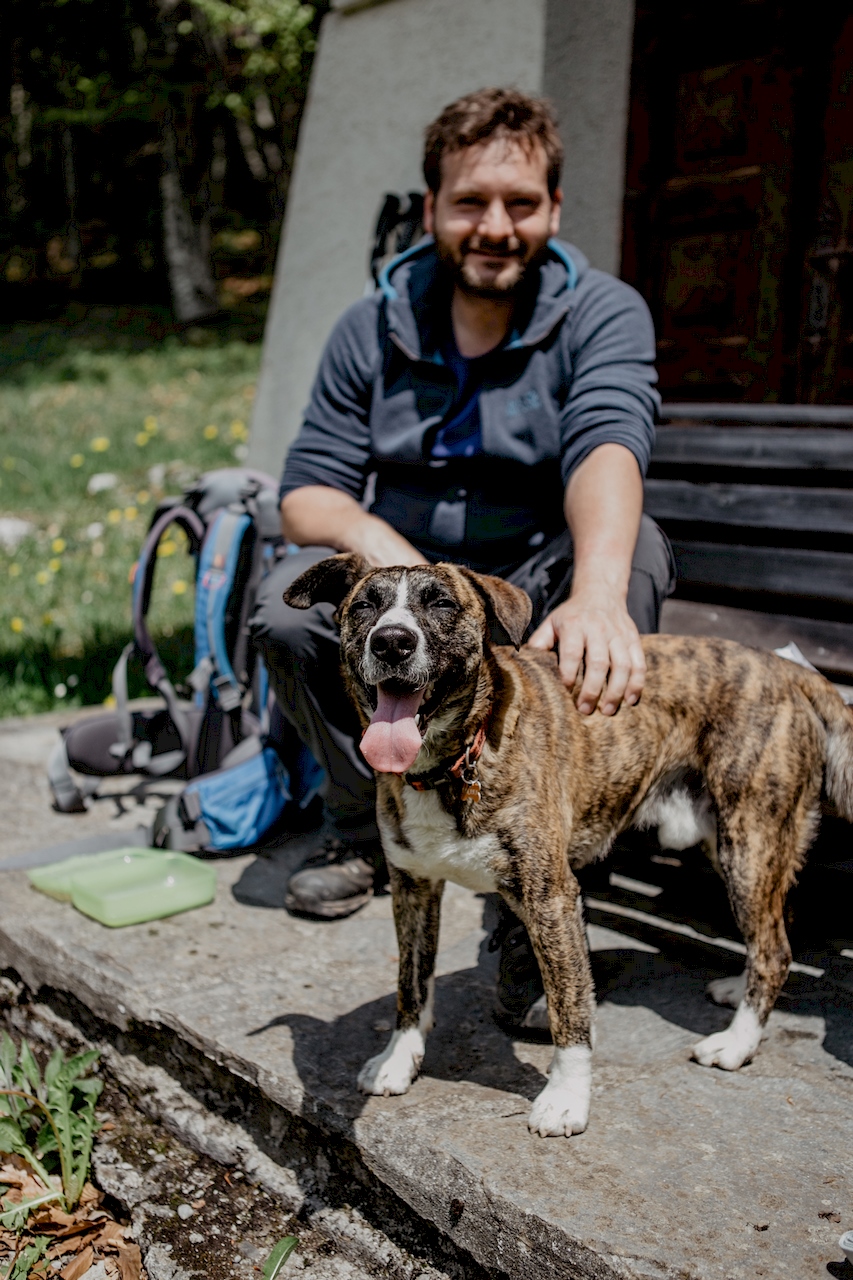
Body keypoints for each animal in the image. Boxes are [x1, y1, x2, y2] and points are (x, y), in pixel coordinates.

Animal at [281, 555, 850, 1136]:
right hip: (735, 843)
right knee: (776, 931)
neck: (453, 764)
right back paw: (738, 991)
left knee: (774, 948)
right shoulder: (412, 888)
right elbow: (411, 984)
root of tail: (790, 671)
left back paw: (737, 1042)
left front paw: (566, 1099)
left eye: (441, 603)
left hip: (748, 839)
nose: (391, 641)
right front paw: (398, 1058)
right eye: (365, 605)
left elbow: (570, 1010)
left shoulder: (551, 900)